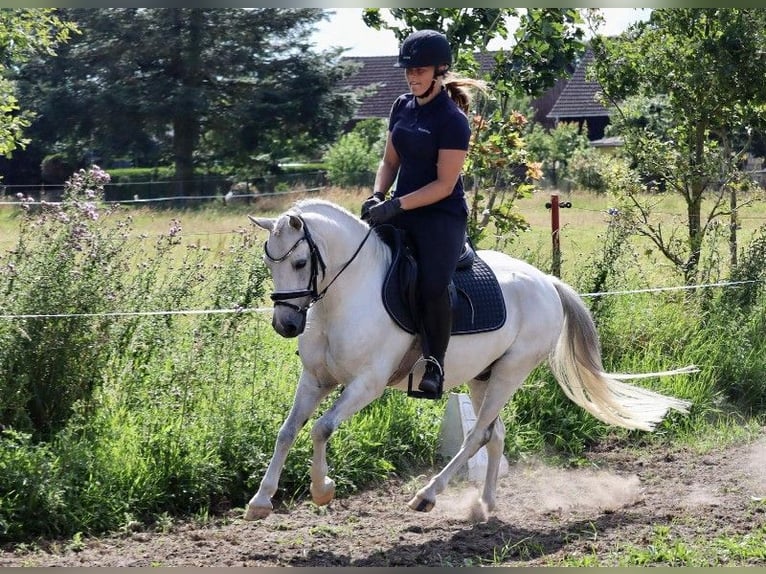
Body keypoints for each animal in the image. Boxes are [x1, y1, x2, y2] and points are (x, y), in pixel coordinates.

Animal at [244, 198, 696, 520]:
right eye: (268, 261)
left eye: (300, 262)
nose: (286, 325)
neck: (348, 293)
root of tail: (547, 282)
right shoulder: (316, 380)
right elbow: (287, 431)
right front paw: (260, 501)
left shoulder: (366, 384)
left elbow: (321, 429)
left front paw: (322, 490)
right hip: (483, 376)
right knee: (495, 435)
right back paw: (484, 506)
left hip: (511, 372)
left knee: (476, 435)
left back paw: (427, 496)